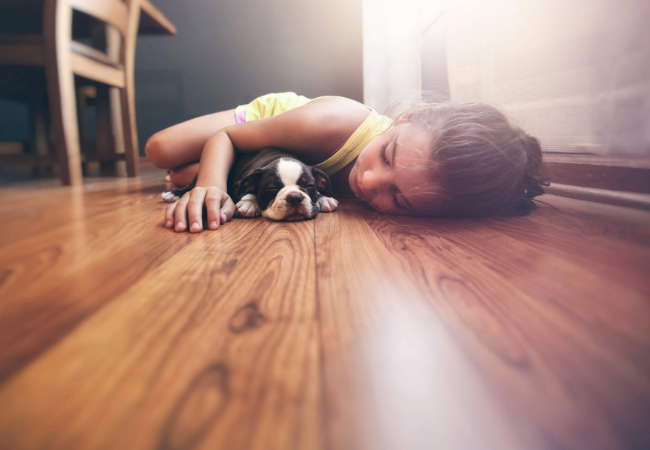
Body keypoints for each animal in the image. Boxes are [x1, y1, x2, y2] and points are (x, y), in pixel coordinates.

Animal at [161, 149, 340, 221]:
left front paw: (324, 198)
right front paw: (250, 204)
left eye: (310, 186)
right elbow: (246, 191)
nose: (295, 197)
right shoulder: (239, 183)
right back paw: (173, 193)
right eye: (271, 188)